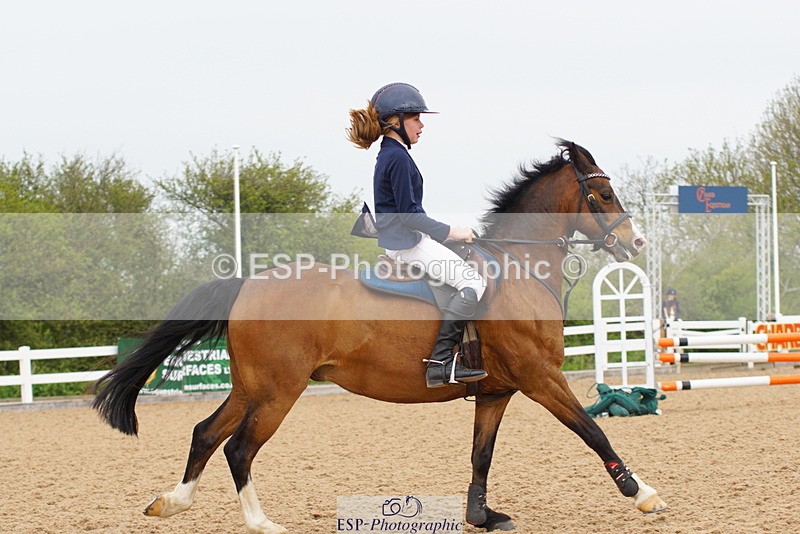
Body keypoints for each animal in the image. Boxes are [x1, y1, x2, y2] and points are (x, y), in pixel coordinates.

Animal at [92, 140, 665, 533]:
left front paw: (482, 516)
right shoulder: (541, 378)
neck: (520, 268)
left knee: (206, 434)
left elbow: (481, 455)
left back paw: (172, 502)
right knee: (238, 448)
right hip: (278, 391)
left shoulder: (496, 391)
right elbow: (593, 433)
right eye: (604, 193)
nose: (637, 243)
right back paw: (260, 523)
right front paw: (642, 493)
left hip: (252, 386)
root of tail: (249, 283)